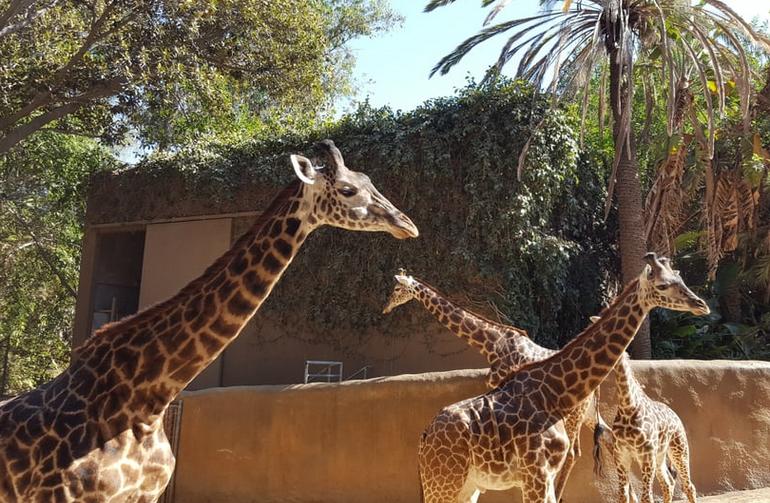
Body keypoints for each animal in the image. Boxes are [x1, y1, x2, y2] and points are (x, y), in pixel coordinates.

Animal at [0, 141, 416, 503]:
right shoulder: (68, 497)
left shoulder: (147, 495)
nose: (408, 224)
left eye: (370, 181)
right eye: (347, 190)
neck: (145, 399)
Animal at [380, 274, 608, 502]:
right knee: (606, 436)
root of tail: (597, 388)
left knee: (573, 452)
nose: (385, 308)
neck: (491, 343)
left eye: (397, 289)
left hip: (574, 414)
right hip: (587, 414)